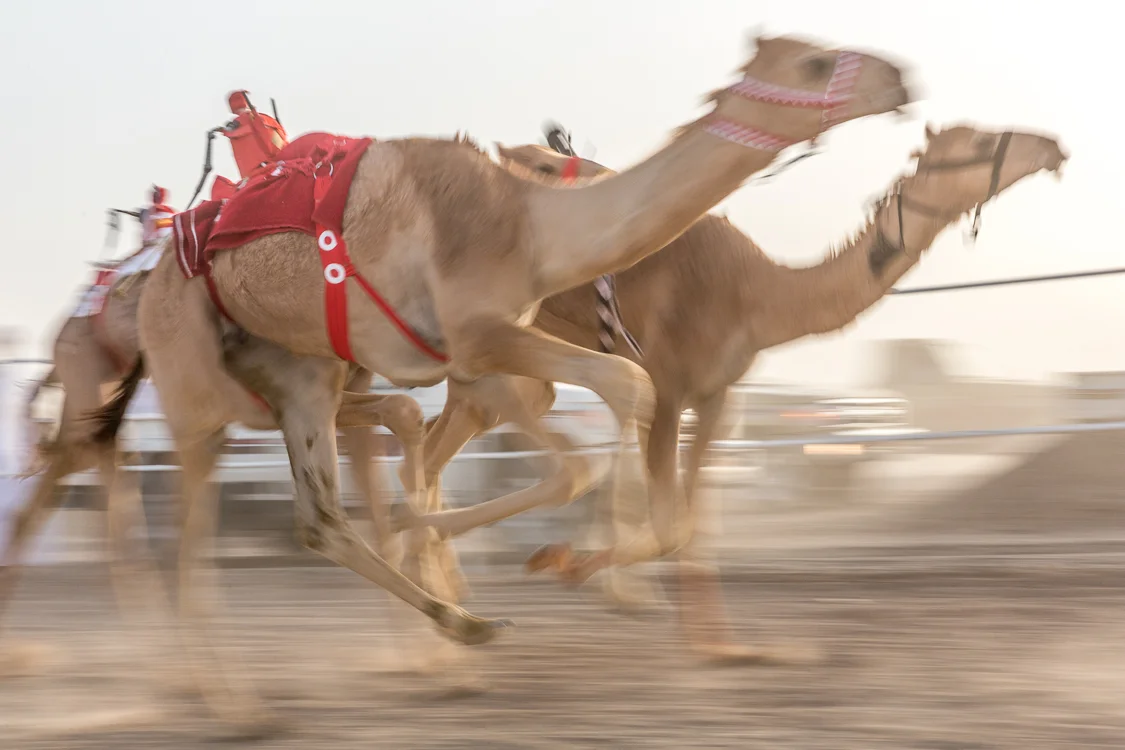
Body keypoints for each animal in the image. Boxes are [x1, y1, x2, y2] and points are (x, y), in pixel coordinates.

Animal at [84, 33, 910, 728]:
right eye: (813, 62)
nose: (900, 76)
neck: (529, 225)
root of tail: (149, 276)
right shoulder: (480, 333)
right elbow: (622, 393)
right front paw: (582, 565)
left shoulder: (484, 352)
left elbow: (596, 418)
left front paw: (555, 561)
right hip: (193, 387)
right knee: (188, 530)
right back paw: (232, 704)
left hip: (301, 375)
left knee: (319, 517)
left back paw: (463, 625)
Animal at [378, 122, 1067, 663]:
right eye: (978, 141)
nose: (1052, 145)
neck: (759, 292)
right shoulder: (668, 382)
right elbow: (669, 522)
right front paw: (574, 567)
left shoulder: (715, 396)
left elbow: (693, 525)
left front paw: (719, 645)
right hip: (486, 341)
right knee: (456, 428)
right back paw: (433, 619)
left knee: (444, 439)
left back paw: (438, 605)